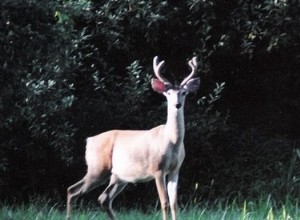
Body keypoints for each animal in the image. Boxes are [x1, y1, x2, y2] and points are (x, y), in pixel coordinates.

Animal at [67, 56, 200, 220]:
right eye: (168, 93)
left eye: (184, 92)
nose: (177, 104)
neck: (172, 142)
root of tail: (89, 141)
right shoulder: (157, 168)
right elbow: (164, 202)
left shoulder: (175, 169)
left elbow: (174, 203)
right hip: (97, 168)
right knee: (73, 190)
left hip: (119, 176)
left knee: (104, 198)